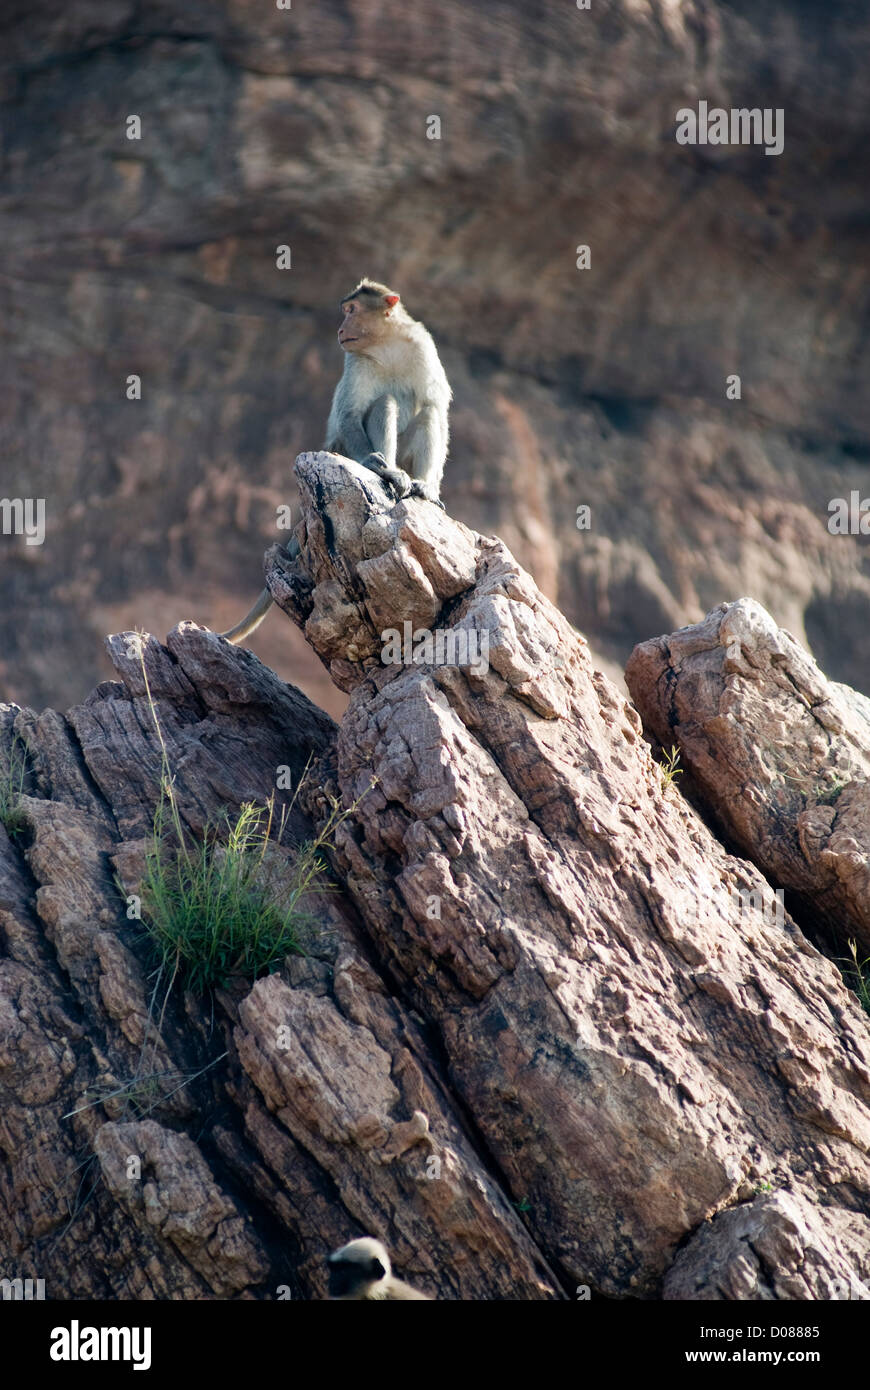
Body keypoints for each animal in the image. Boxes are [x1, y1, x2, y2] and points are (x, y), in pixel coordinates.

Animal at [216, 278, 450, 644]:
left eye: (351, 310)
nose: (340, 328)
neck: (385, 343)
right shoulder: (355, 361)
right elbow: (350, 415)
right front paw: (373, 461)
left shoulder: (423, 347)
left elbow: (436, 407)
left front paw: (431, 487)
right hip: (343, 447)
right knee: (384, 404)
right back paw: (386, 471)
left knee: (427, 414)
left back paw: (419, 484)